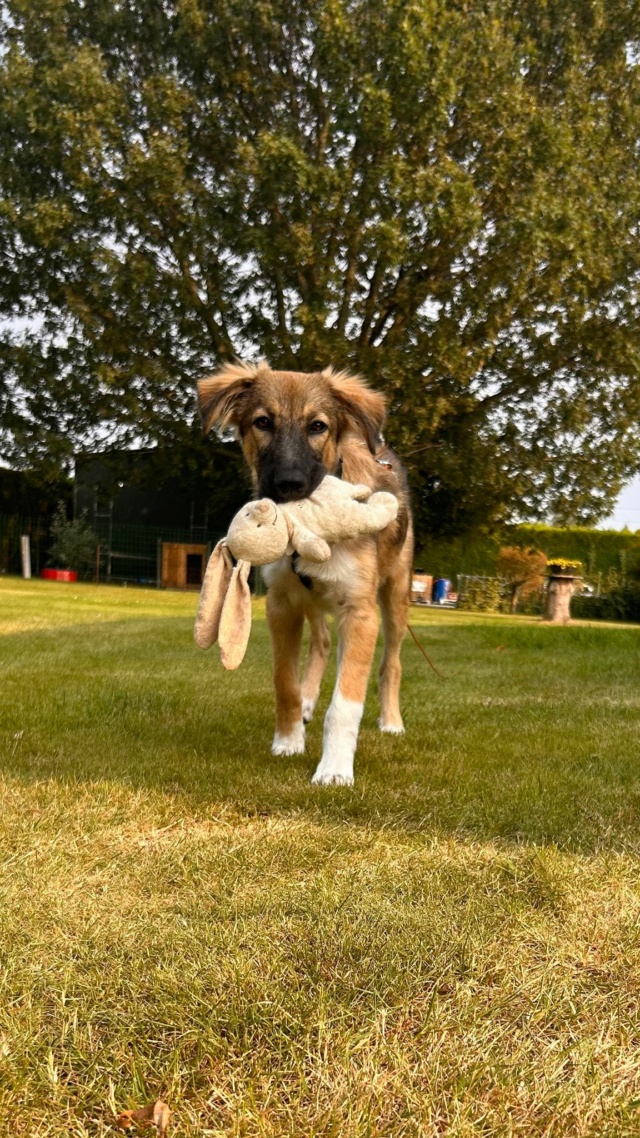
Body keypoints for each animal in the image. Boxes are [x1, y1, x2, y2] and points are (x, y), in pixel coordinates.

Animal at [197, 361, 409, 782]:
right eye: (263, 422)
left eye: (317, 426)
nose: (288, 486)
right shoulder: (282, 603)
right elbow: (285, 681)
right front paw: (288, 740)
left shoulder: (360, 612)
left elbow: (345, 702)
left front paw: (335, 769)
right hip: (310, 598)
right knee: (323, 642)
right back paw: (310, 701)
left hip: (395, 593)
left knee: (390, 662)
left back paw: (391, 721)